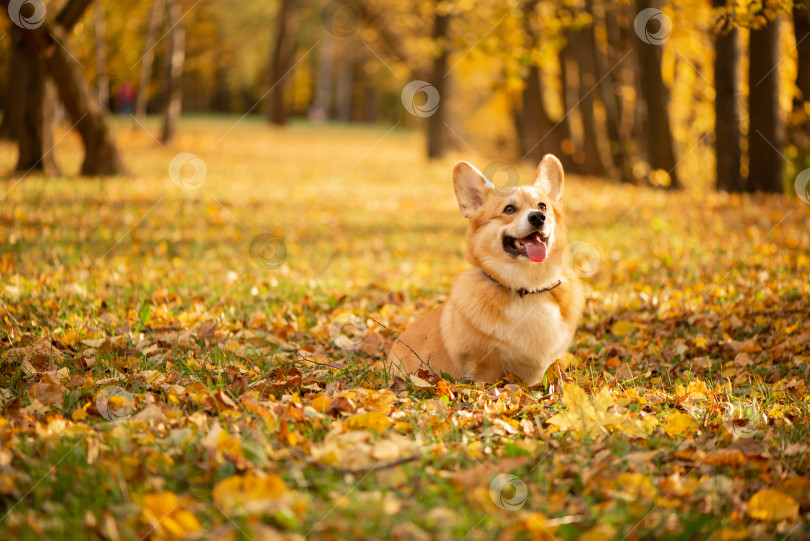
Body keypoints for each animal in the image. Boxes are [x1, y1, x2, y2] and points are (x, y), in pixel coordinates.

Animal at [388, 154, 584, 386]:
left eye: (543, 206)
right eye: (509, 209)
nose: (538, 217)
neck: (527, 287)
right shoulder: (482, 363)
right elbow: (489, 380)